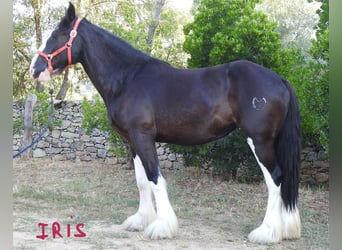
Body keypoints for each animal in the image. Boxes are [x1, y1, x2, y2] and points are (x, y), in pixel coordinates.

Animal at [30, 2, 302, 243]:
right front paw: (140, 221)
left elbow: (155, 179)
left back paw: (266, 233)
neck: (128, 78)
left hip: (259, 141)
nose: (35, 69)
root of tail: (278, 79)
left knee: (275, 179)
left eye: (56, 35)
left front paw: (161, 227)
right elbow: (142, 182)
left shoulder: (143, 137)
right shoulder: (132, 141)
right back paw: (286, 229)